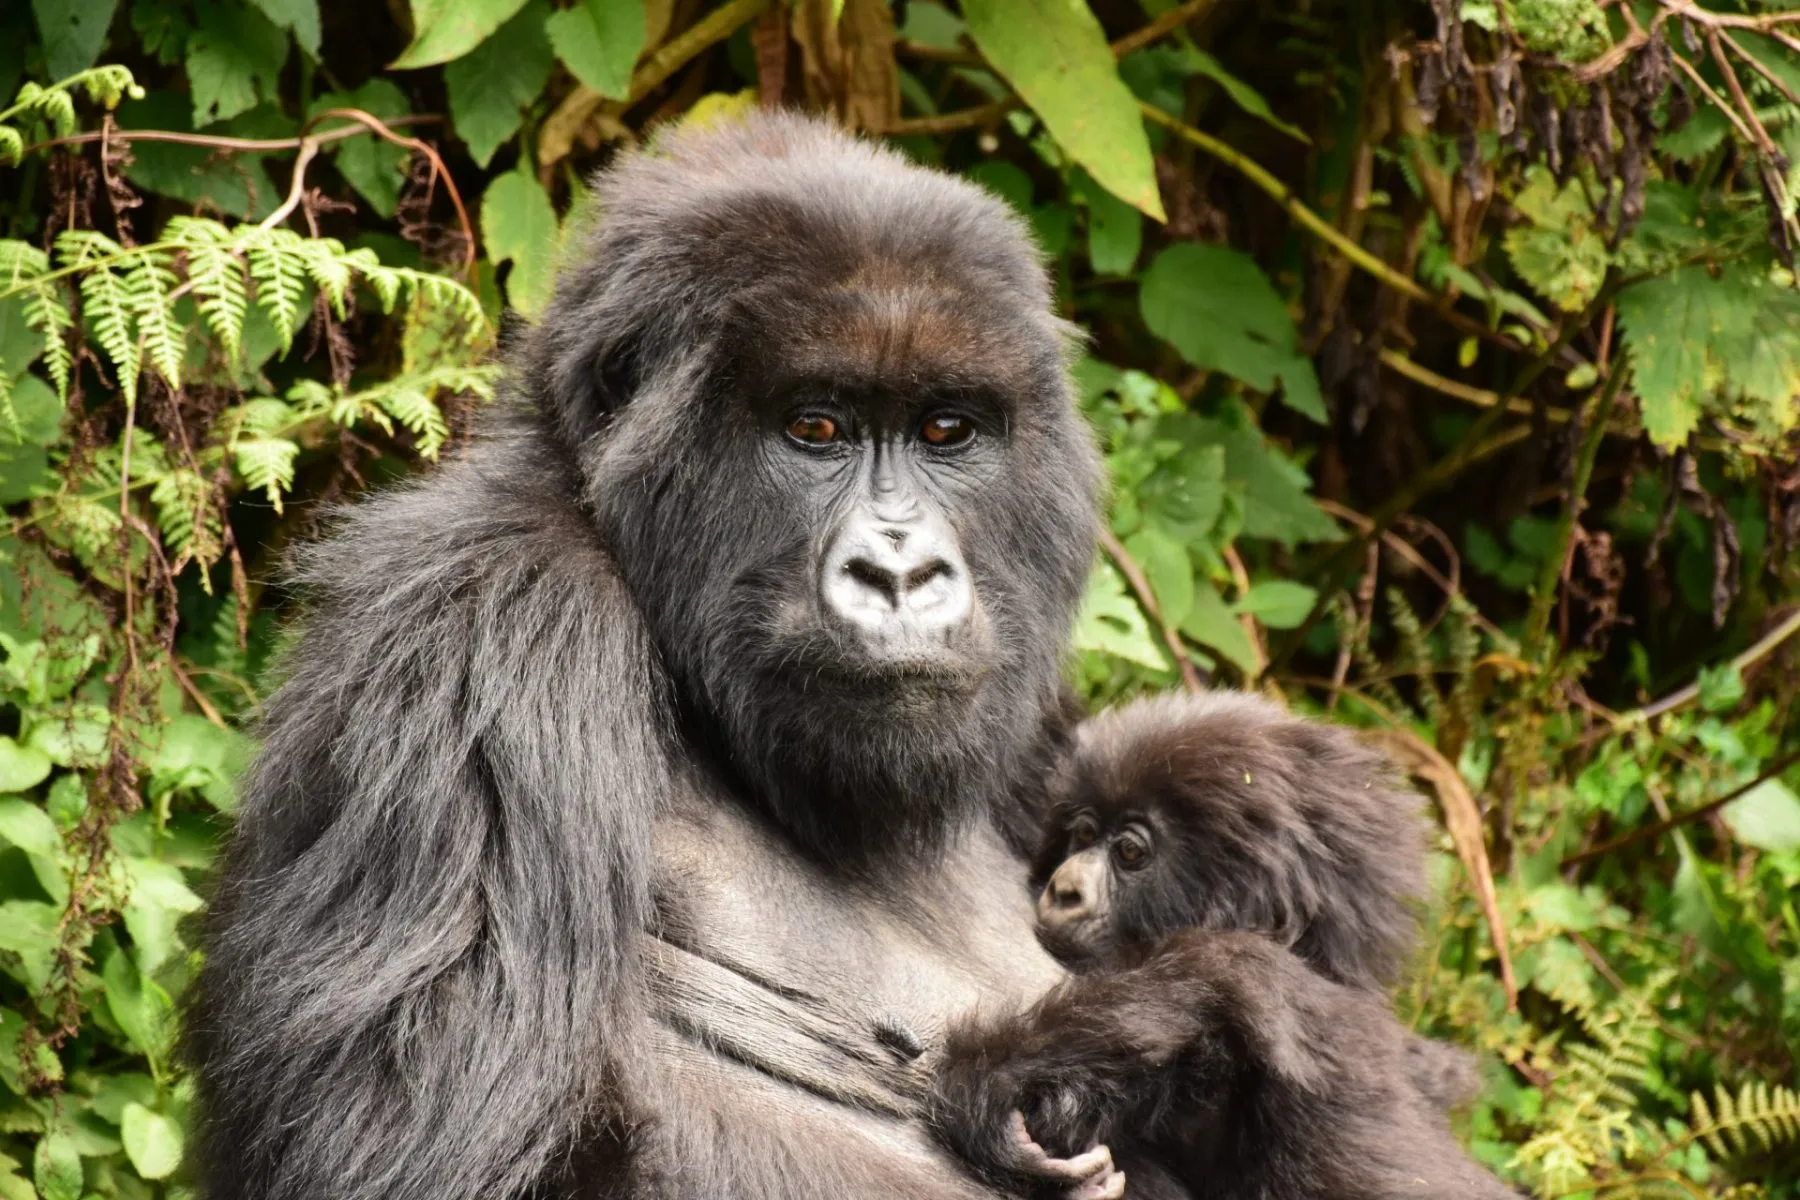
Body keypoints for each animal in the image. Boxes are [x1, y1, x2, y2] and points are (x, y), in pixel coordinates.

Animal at [936, 690, 1512, 1194]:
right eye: (1082, 835)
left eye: (1129, 852)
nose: (1063, 890)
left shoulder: (1314, 1030)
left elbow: (1214, 974)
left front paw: (993, 1087)